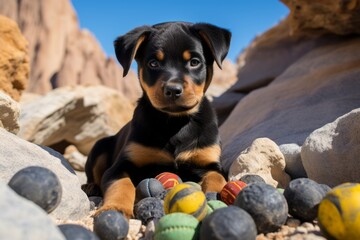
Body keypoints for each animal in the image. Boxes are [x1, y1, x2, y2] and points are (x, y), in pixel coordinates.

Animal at [82, 21, 231, 218]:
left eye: (194, 62)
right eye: (153, 63)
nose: (173, 90)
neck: (175, 123)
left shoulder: (210, 163)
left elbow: (216, 179)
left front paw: (214, 199)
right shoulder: (120, 166)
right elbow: (121, 184)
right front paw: (115, 208)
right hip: (100, 146)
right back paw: (91, 187)